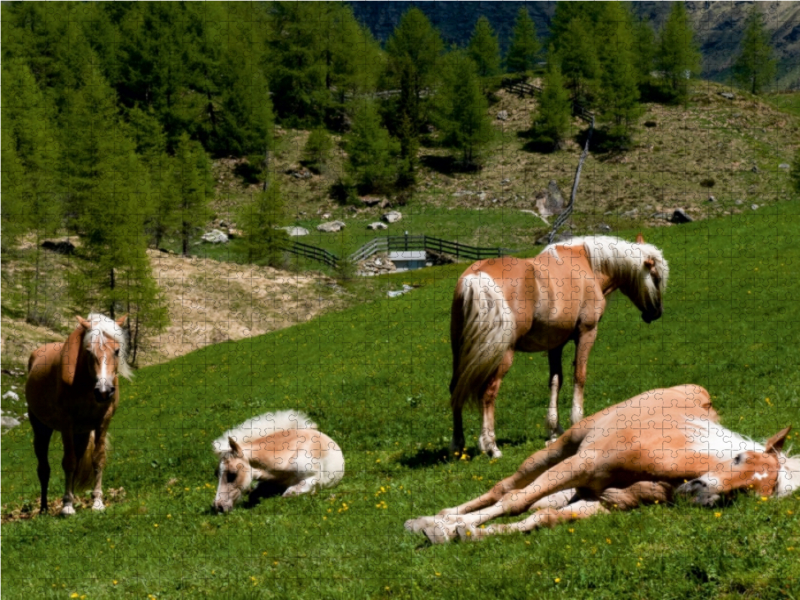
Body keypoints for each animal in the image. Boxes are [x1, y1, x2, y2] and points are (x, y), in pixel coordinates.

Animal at [24, 314, 130, 516]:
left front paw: (97, 502)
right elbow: (69, 462)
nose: (104, 391)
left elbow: (97, 459)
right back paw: (44, 508)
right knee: (44, 468)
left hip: (81, 432)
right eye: (88, 351)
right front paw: (67, 505)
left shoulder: (102, 421)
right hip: (42, 429)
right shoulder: (67, 423)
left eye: (117, 350)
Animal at [410, 384, 800, 544]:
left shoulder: (607, 501)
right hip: (560, 450)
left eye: (747, 493)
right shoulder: (582, 464)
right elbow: (514, 501)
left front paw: (468, 535)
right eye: (737, 457)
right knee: (504, 488)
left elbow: (543, 517)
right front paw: (447, 528)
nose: (699, 491)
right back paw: (436, 518)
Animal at [450, 236, 668, 460]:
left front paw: (554, 431)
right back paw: (491, 446)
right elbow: (579, 376)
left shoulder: (555, 344)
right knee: (488, 393)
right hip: (502, 355)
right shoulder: (587, 332)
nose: (656, 312)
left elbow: (555, 381)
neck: (588, 265)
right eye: (656, 277)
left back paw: (458, 444)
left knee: (455, 389)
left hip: (461, 352)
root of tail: (477, 277)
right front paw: (576, 422)